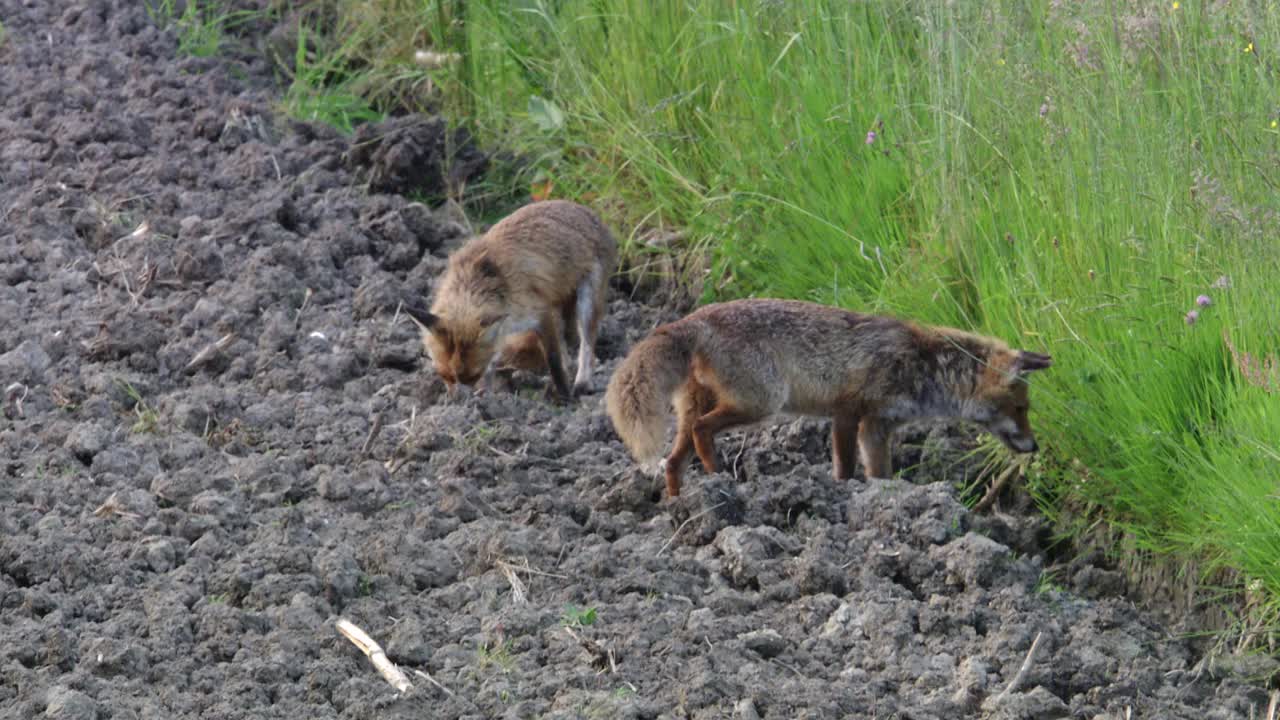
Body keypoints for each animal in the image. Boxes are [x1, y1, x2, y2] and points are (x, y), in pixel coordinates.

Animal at [401, 198, 616, 399]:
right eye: (444, 375)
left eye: (472, 376)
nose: (458, 400)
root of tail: (586, 210)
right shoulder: (500, 331)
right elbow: (493, 362)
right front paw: (486, 393)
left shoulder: (541, 314)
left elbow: (554, 361)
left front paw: (564, 395)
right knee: (570, 352)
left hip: (587, 303)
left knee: (587, 348)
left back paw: (582, 383)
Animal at [604, 295, 1054, 491]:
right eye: (1020, 408)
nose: (1034, 447)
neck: (920, 365)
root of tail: (695, 316)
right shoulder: (848, 413)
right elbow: (846, 469)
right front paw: (844, 493)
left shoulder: (876, 426)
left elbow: (878, 472)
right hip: (761, 403)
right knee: (701, 431)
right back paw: (719, 479)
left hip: (700, 409)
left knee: (673, 461)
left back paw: (682, 503)